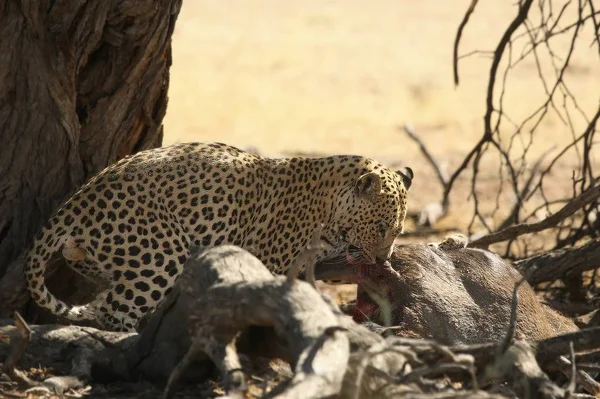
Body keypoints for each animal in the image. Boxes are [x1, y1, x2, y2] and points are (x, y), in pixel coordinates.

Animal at [25, 142, 414, 332]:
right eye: (382, 227)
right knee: (111, 310)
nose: (383, 259)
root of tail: (74, 202)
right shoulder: (272, 261)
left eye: (398, 232)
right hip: (161, 255)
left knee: (101, 300)